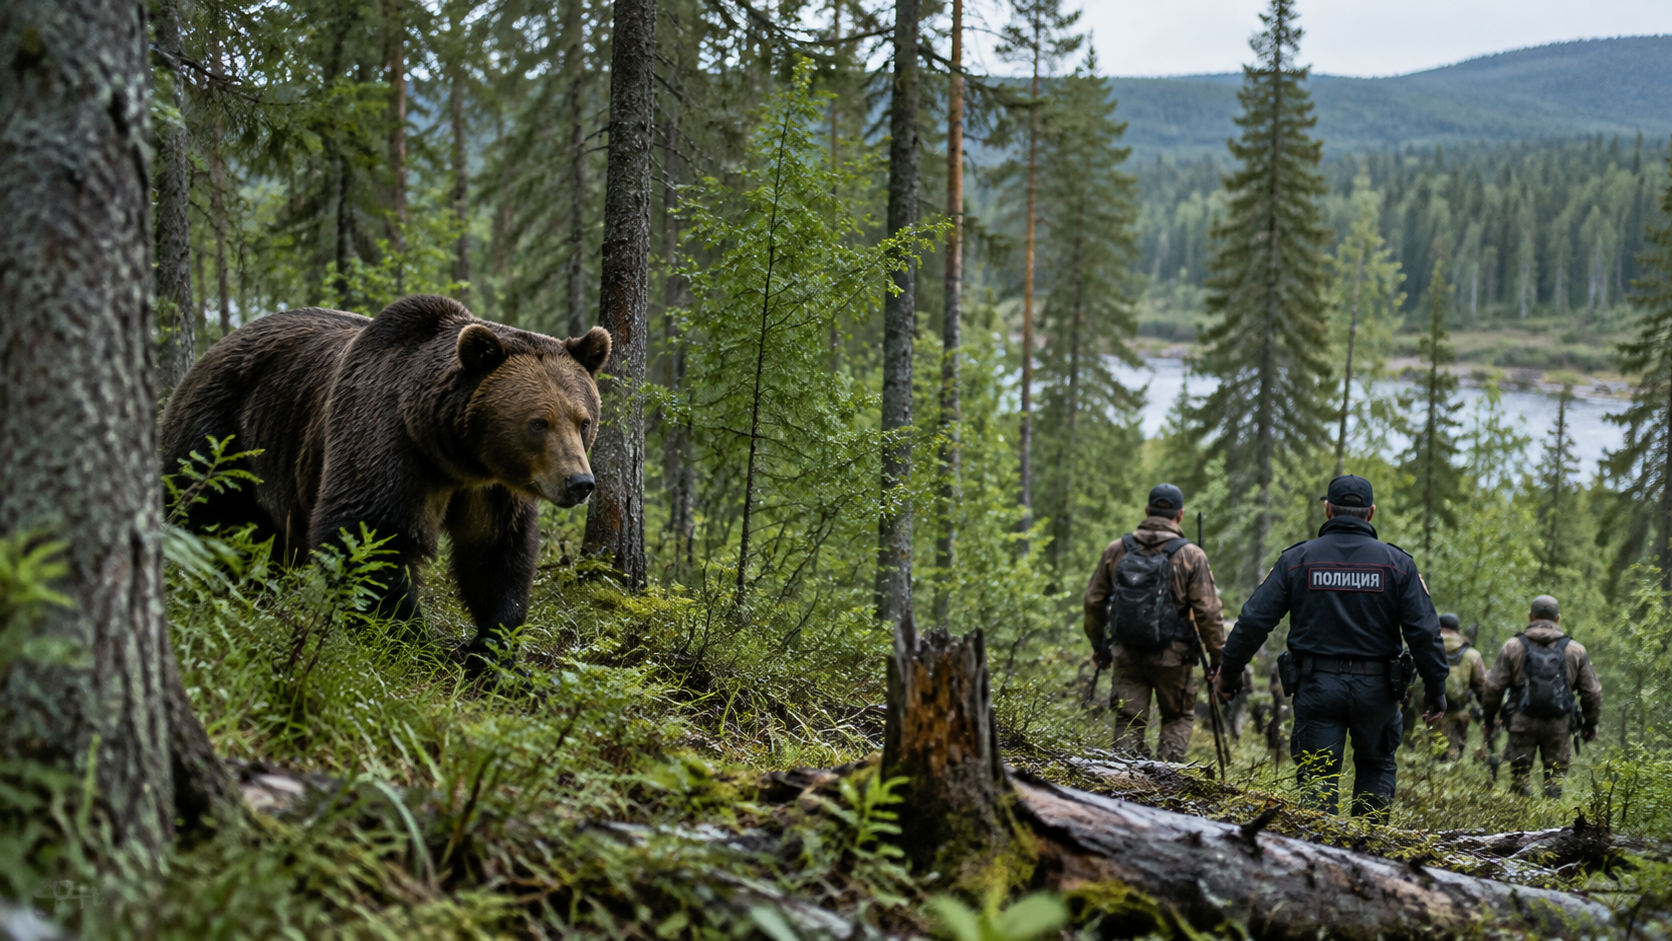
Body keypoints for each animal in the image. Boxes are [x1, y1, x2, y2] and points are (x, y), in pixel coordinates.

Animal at [161, 294, 611, 670]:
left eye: (583, 420)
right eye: (538, 422)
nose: (579, 482)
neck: (451, 453)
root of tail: (212, 350)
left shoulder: (490, 488)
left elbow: (496, 553)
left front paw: (494, 651)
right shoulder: (385, 440)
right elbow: (367, 534)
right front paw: (413, 640)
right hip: (224, 437)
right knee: (208, 514)